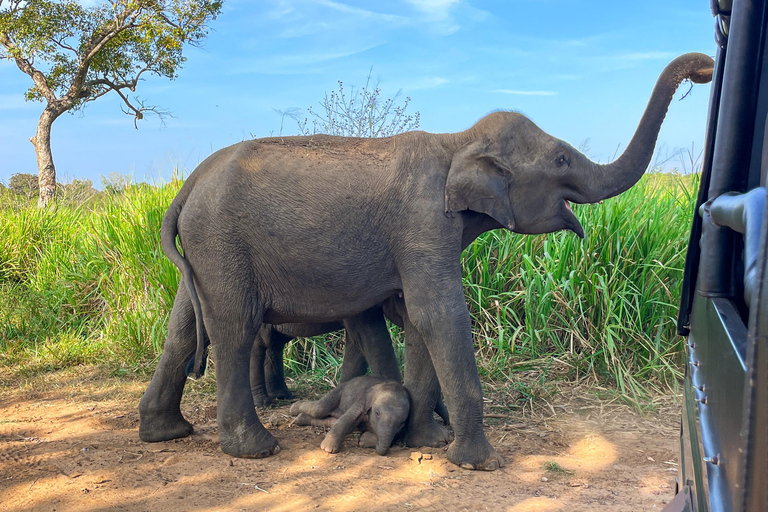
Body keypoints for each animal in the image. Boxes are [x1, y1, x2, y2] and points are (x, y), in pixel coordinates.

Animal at [138, 53, 713, 470]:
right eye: (561, 159)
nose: (706, 69)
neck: (457, 140)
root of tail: (186, 185)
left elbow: (416, 320)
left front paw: (428, 441)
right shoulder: (423, 221)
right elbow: (439, 313)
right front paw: (478, 463)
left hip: (209, 246)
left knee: (185, 326)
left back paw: (164, 433)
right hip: (222, 240)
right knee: (235, 325)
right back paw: (255, 449)